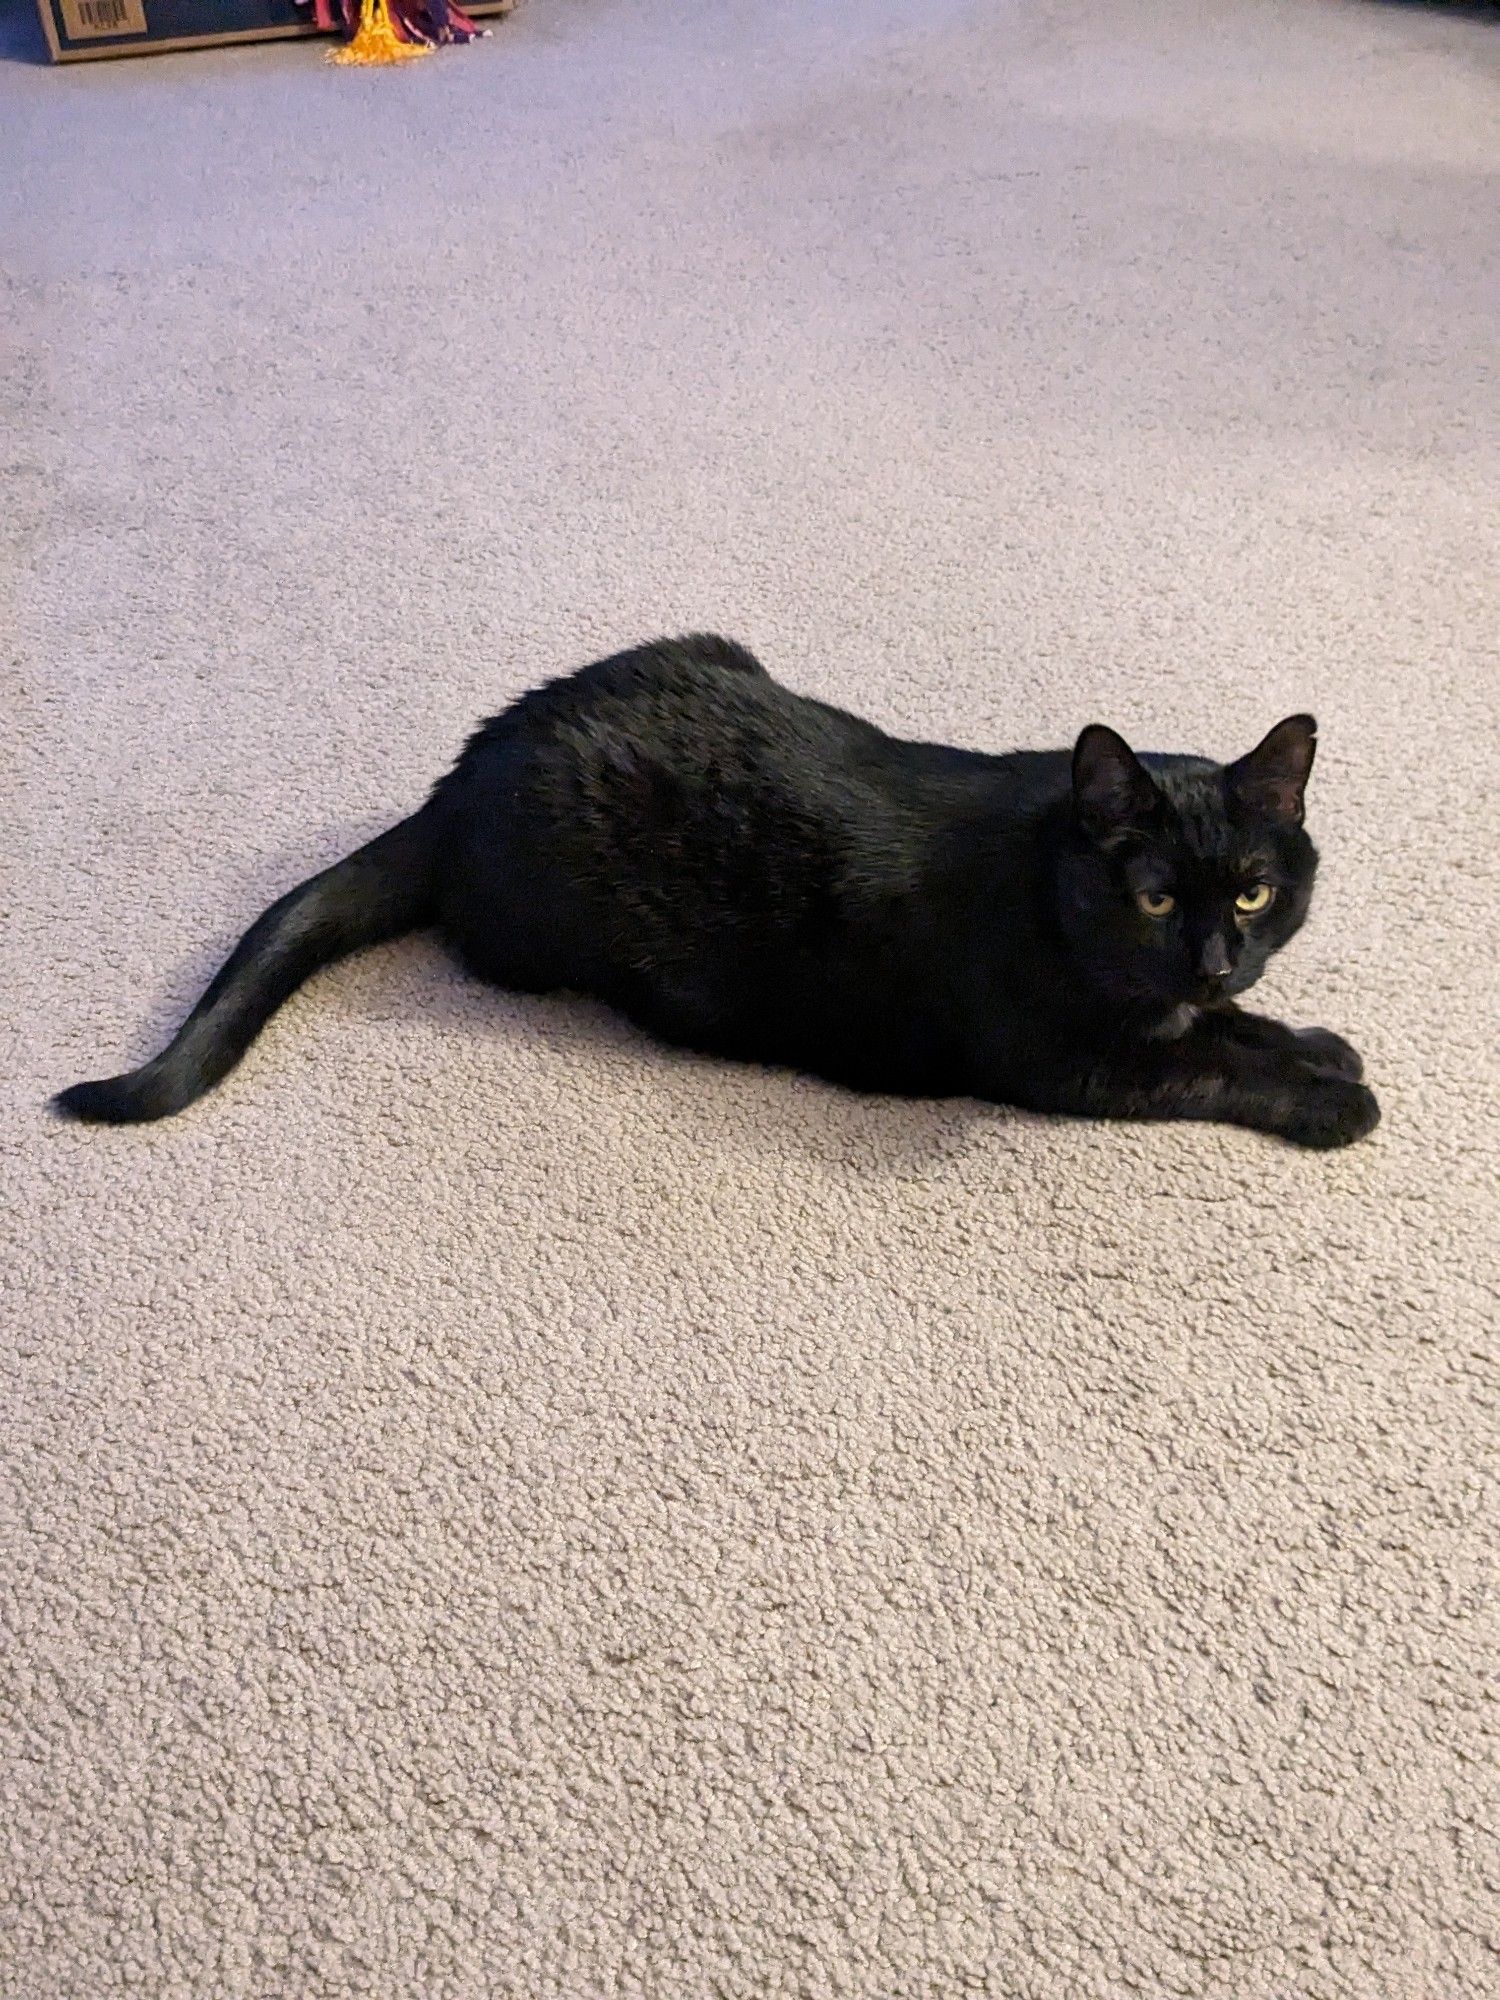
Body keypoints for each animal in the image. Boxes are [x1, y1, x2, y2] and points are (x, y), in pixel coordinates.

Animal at [53, 632, 1384, 1152]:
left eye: (1254, 895)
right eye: (1155, 898)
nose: (1213, 954)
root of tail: (464, 770)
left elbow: (1231, 1028)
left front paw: (1310, 1037)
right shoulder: (1073, 1063)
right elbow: (1208, 1064)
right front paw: (1329, 1095)